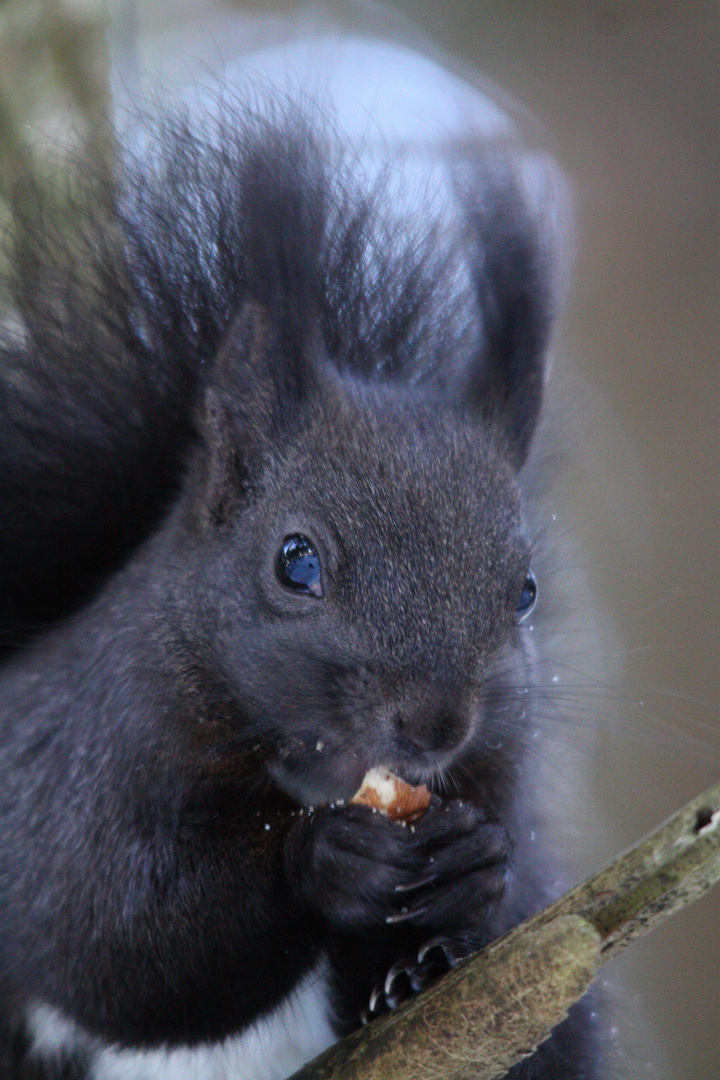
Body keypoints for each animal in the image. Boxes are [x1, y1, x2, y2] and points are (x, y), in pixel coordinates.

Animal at [0, 31, 604, 1080]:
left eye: (525, 588)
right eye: (296, 562)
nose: (436, 726)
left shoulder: (502, 771)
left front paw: (472, 881)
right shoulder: (69, 780)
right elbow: (111, 942)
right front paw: (323, 861)